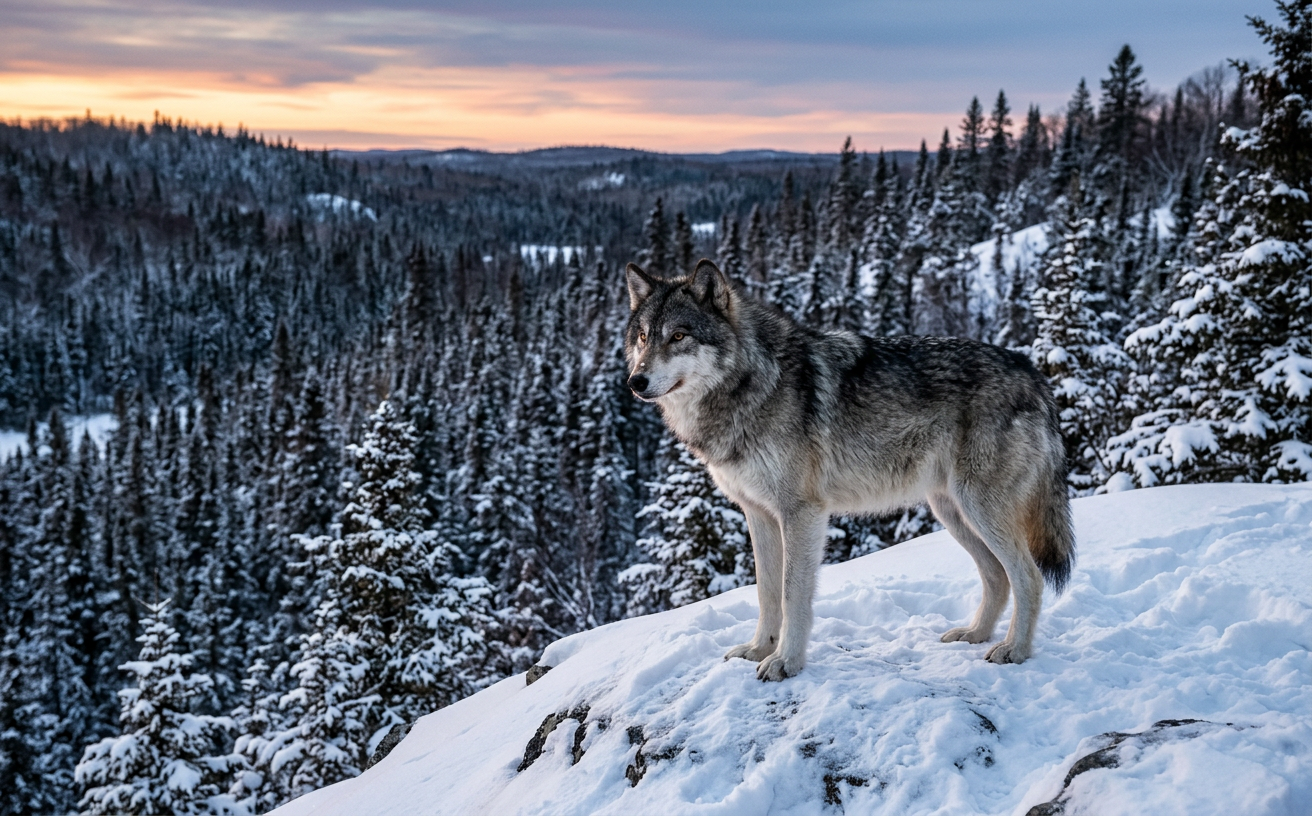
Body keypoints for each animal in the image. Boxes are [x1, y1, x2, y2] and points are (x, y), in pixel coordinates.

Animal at [624, 259, 1074, 681]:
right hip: (952, 511)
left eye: (678, 336)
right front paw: (758, 649)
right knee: (997, 576)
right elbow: (766, 592)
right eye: (644, 337)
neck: (751, 383)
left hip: (979, 508)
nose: (635, 382)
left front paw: (785, 662)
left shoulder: (801, 513)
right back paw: (974, 634)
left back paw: (1014, 650)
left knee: (1028, 577)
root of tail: (1034, 374)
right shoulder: (759, 514)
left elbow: (791, 594)